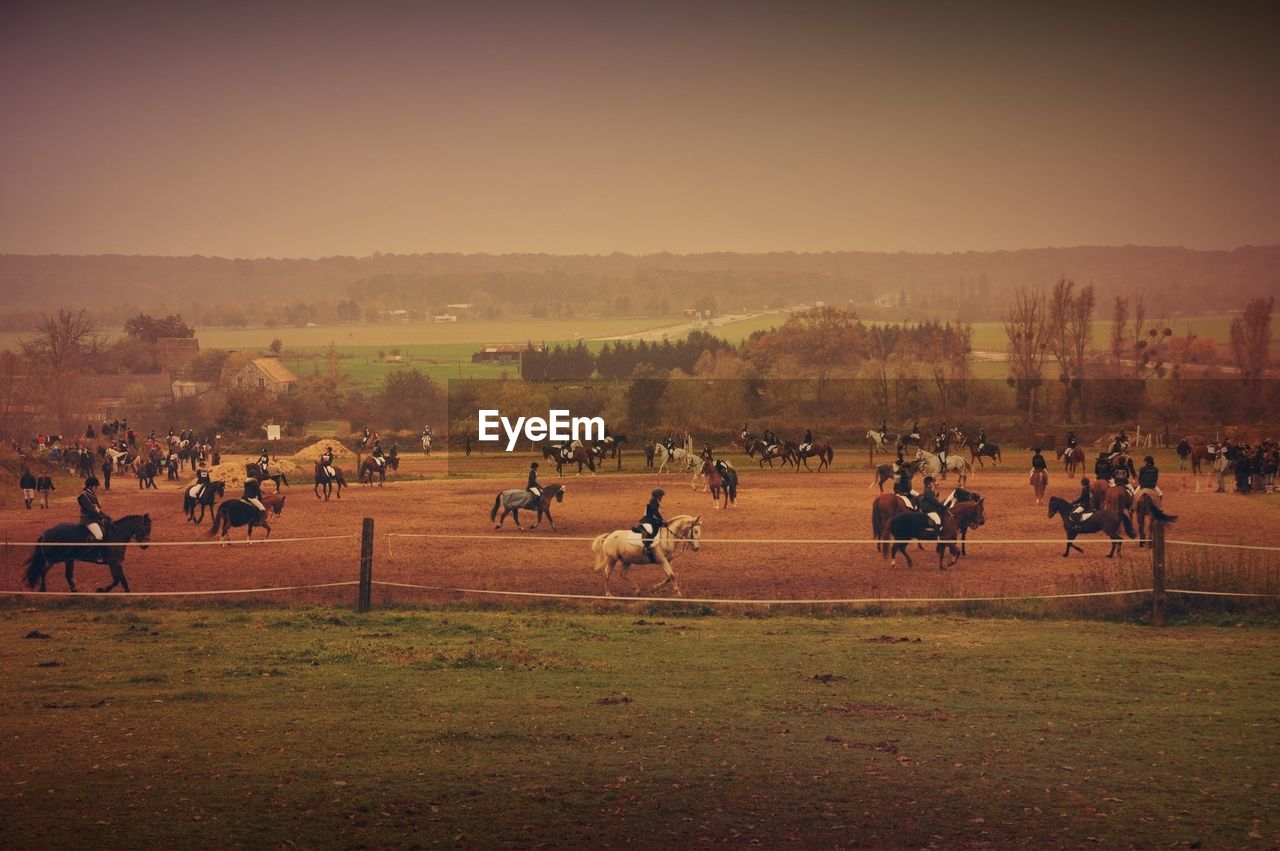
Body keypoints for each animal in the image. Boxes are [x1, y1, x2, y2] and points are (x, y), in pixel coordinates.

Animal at [22, 511, 152, 591]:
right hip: (54, 559)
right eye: (144, 528)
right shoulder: (115, 562)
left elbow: (118, 580)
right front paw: (102, 591)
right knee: (43, 572)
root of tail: (47, 532)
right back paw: (43, 590)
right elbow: (121, 580)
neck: (116, 534)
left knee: (65, 575)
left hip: (67, 559)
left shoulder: (113, 563)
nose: (145, 546)